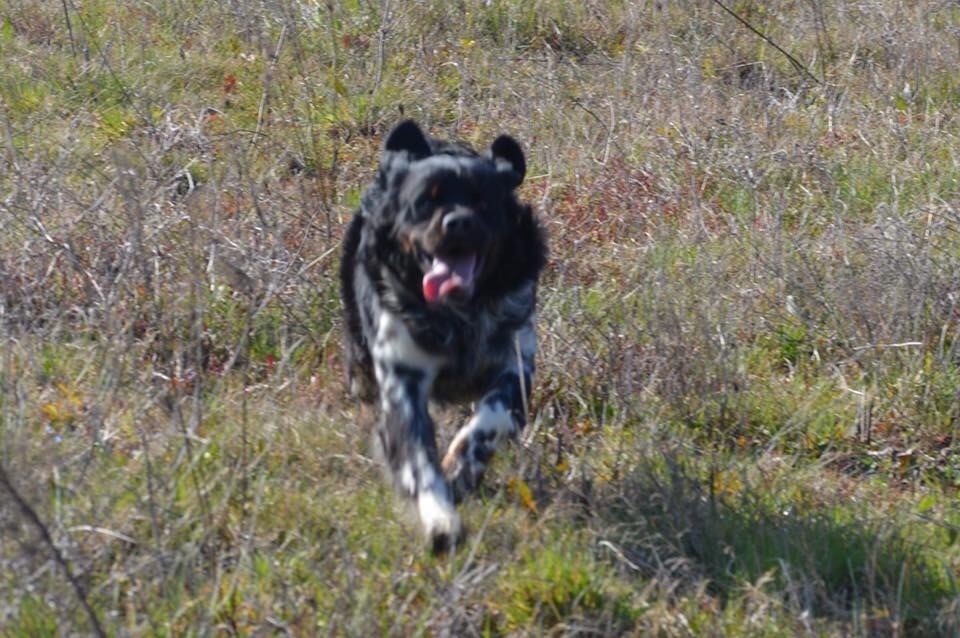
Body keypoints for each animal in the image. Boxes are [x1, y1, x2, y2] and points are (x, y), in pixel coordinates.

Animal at [339, 120, 546, 551]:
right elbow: (417, 456)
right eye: (424, 202)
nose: (459, 222)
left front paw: (462, 467)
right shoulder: (402, 380)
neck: (459, 315)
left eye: (483, 202)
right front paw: (441, 519)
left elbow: (491, 418)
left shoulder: (516, 364)